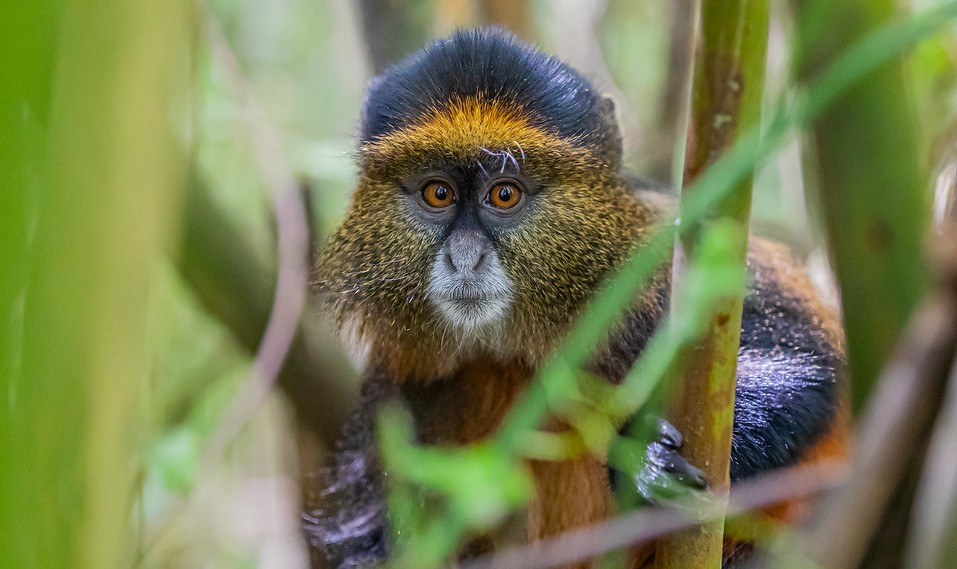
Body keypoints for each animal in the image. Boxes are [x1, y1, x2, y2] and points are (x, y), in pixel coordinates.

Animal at [307, 28, 847, 568]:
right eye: (438, 194)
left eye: (504, 194)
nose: (465, 259)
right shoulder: (395, 390)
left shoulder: (667, 262)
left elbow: (803, 364)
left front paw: (646, 461)